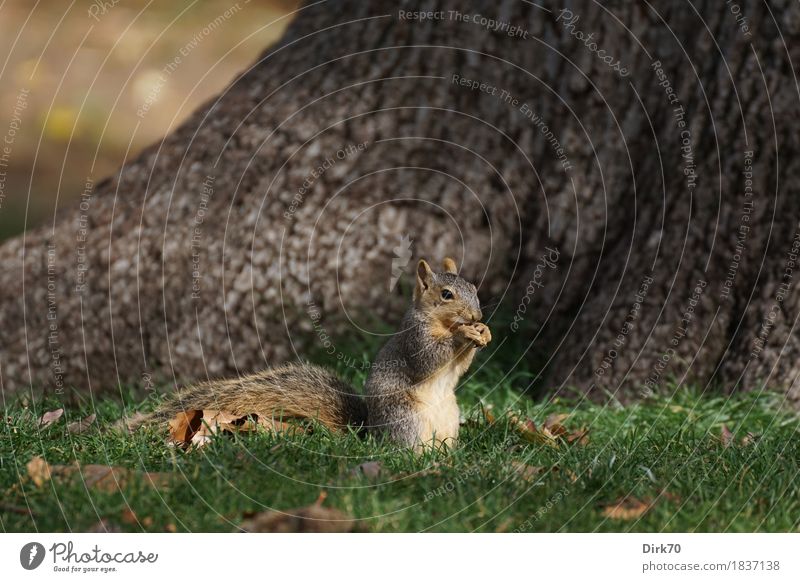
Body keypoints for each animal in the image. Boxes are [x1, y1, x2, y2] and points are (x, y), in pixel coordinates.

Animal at [134, 258, 490, 454]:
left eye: (474, 288)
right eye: (446, 294)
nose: (477, 315)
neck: (438, 322)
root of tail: (371, 438)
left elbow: (459, 368)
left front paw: (483, 333)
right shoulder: (413, 340)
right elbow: (429, 359)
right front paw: (465, 334)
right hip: (408, 419)